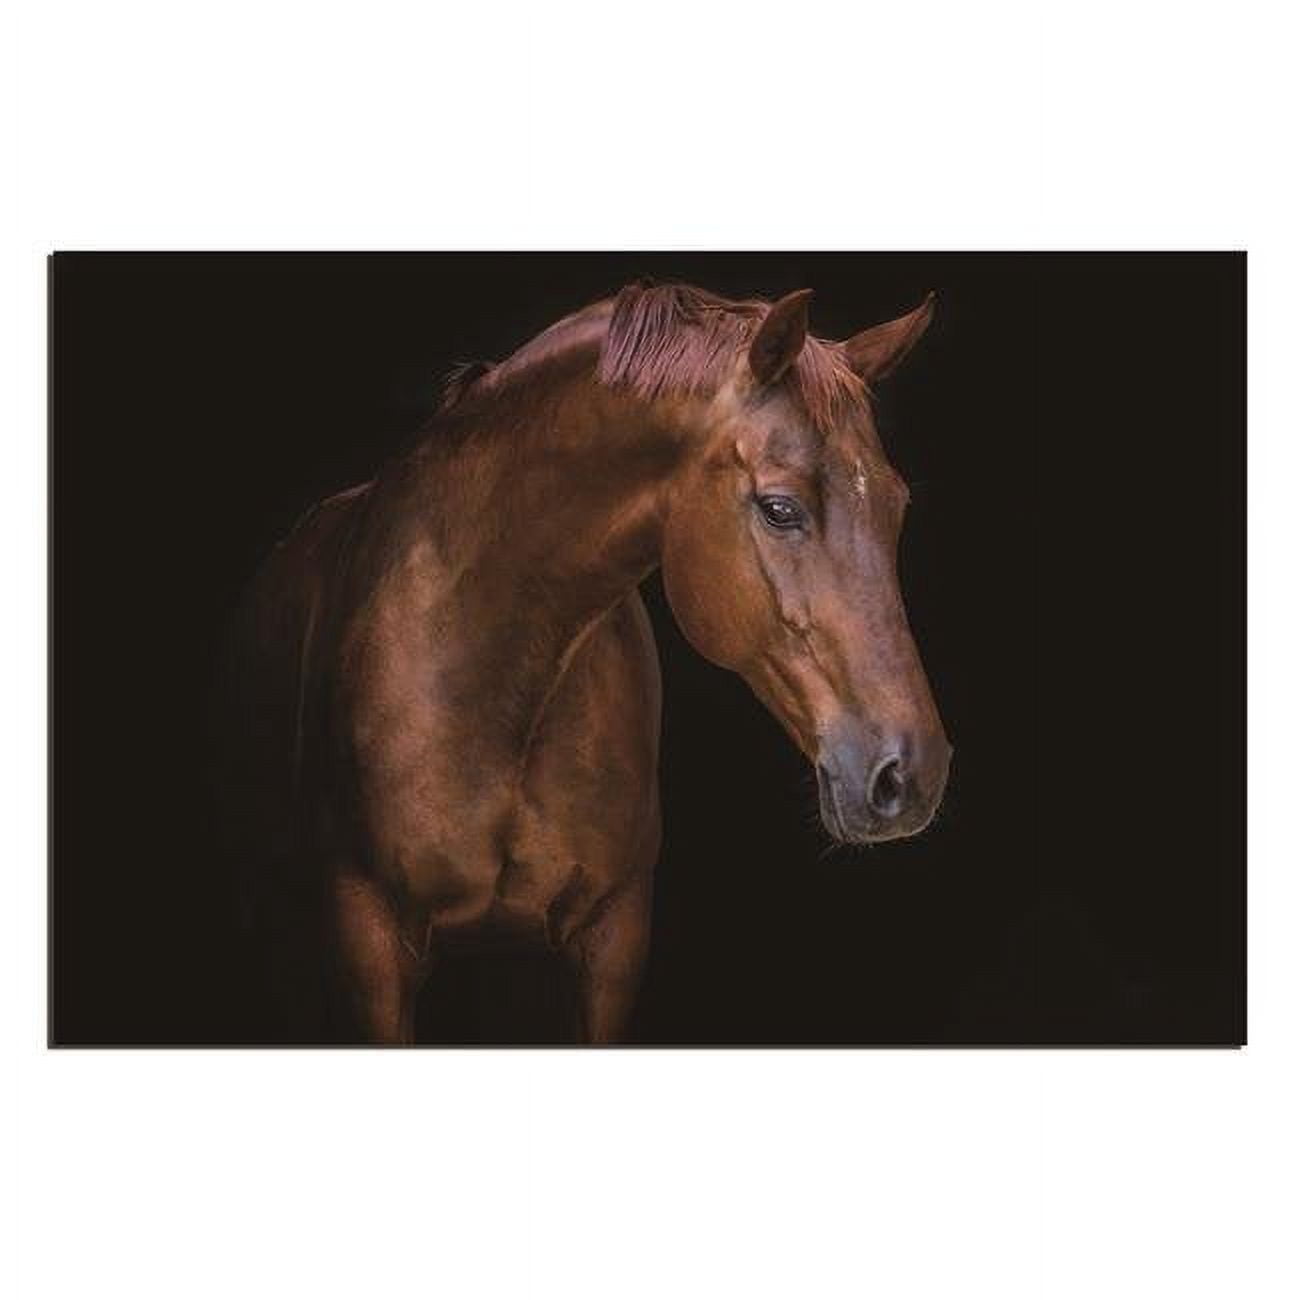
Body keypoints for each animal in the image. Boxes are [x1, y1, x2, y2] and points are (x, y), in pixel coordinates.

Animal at [217, 281, 951, 1044]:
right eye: (779, 508)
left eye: (898, 505)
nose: (912, 774)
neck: (489, 667)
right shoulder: (370, 942)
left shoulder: (609, 936)